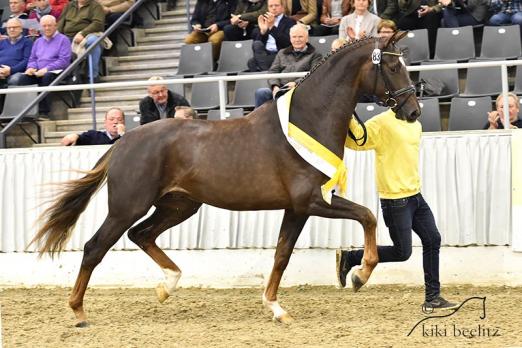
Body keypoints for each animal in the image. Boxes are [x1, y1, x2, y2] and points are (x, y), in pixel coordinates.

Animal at [29, 32, 418, 326]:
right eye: (393, 66)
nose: (413, 111)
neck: (307, 121)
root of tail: (123, 141)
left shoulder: (297, 209)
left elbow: (282, 255)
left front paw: (276, 308)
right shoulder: (311, 201)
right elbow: (366, 216)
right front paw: (360, 275)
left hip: (180, 205)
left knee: (141, 235)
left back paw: (167, 286)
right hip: (128, 207)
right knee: (96, 247)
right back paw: (79, 312)